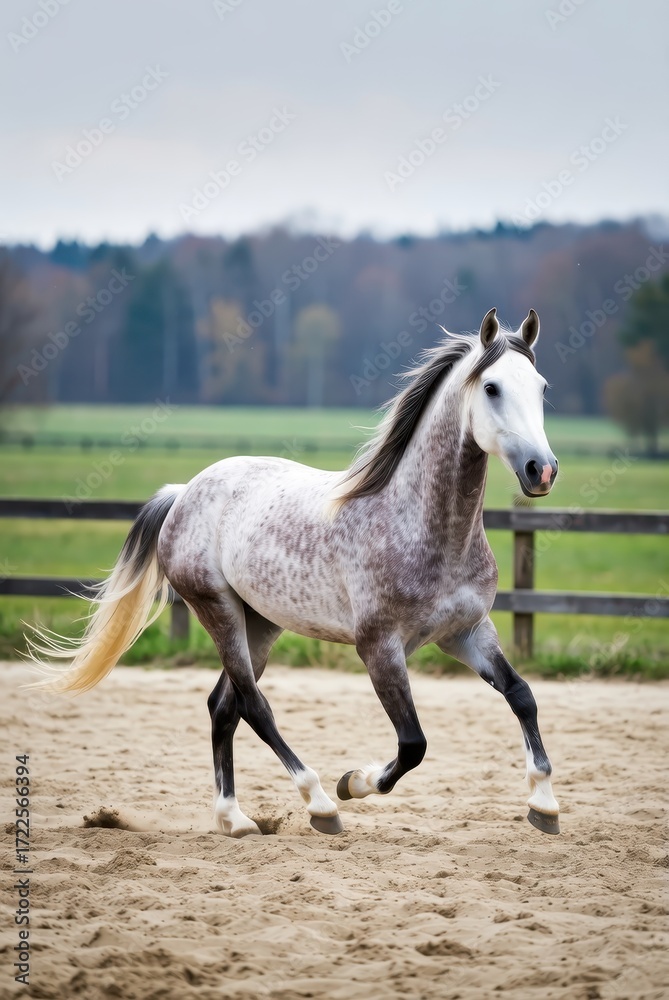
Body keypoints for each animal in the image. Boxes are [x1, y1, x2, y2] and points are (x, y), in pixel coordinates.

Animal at [29, 307, 560, 838]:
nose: (542, 470)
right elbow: (413, 744)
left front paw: (545, 805)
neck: (421, 526)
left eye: (541, 387)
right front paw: (354, 782)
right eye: (491, 387)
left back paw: (234, 819)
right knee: (255, 707)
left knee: (223, 706)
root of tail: (184, 492)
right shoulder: (380, 648)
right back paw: (320, 803)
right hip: (218, 610)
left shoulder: (467, 633)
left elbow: (523, 696)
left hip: (260, 623)